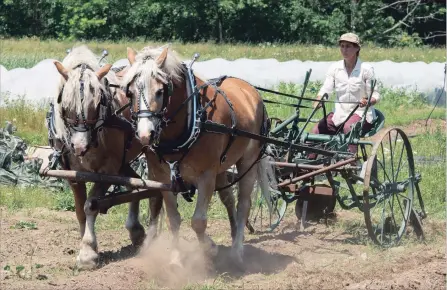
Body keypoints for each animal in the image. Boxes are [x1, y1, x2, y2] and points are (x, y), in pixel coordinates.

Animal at [50, 45, 164, 270]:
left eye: (97, 105)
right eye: (65, 106)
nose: (79, 146)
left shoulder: (107, 171)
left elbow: (90, 205)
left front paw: (87, 253)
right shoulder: (73, 175)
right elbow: (79, 210)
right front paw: (87, 246)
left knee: (157, 190)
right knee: (134, 184)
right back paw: (135, 230)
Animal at [121, 44, 274, 268]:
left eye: (160, 91)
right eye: (130, 93)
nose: (145, 134)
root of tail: (251, 90)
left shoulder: (206, 175)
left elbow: (198, 221)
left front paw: (210, 248)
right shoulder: (164, 177)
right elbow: (173, 219)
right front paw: (176, 260)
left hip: (248, 162)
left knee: (243, 203)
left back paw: (237, 252)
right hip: (223, 167)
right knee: (229, 199)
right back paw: (234, 234)